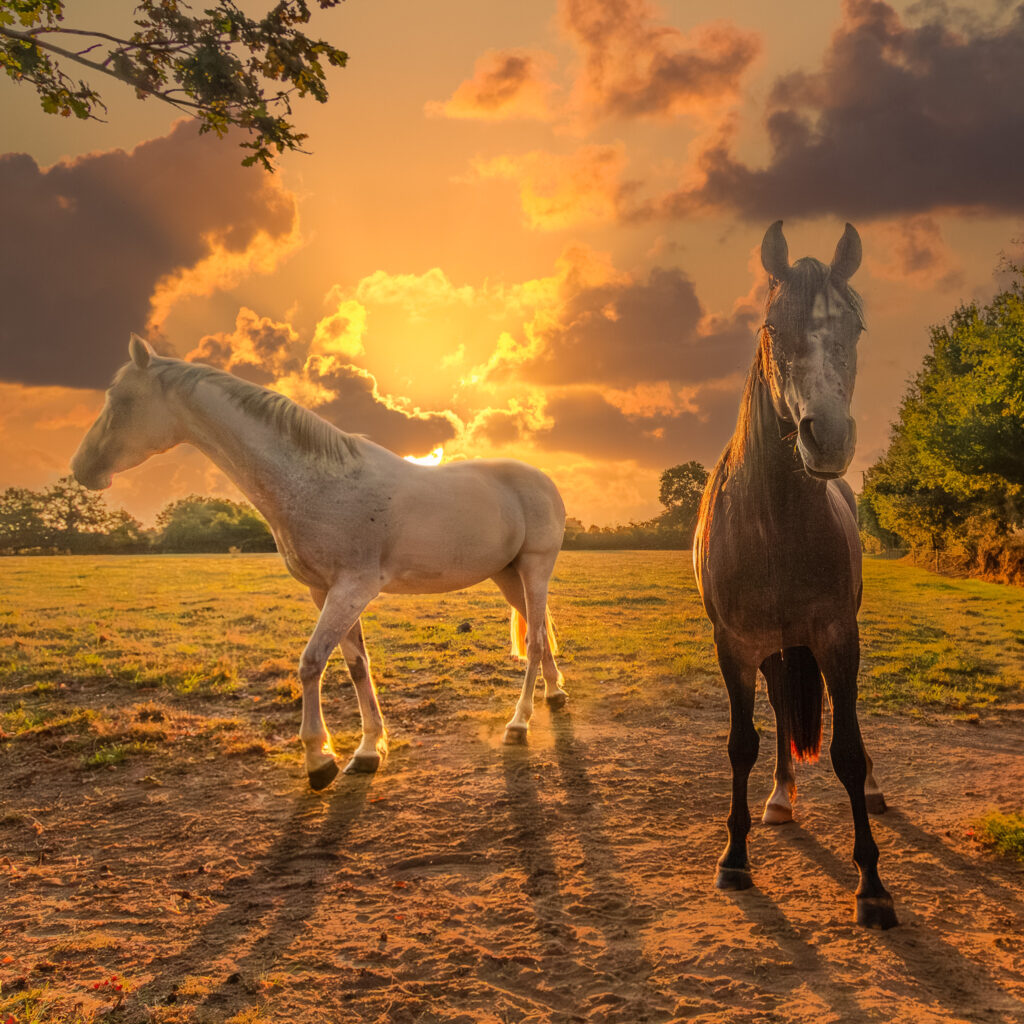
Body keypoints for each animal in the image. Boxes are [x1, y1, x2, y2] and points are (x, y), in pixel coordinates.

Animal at [71, 337, 569, 790]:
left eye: (120, 400)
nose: (81, 468)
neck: (318, 481)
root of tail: (542, 480)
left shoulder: (352, 589)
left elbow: (311, 663)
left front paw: (319, 759)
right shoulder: (324, 591)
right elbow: (356, 665)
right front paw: (368, 750)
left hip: (534, 570)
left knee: (535, 643)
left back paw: (519, 724)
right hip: (506, 576)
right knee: (539, 633)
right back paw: (556, 694)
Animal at [692, 221, 897, 929]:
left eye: (856, 327)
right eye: (771, 326)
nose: (826, 437)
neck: (774, 522)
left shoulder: (837, 637)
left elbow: (847, 750)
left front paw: (872, 885)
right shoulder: (735, 646)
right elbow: (742, 743)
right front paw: (734, 858)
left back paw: (871, 791)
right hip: (777, 649)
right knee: (783, 713)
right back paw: (780, 798)